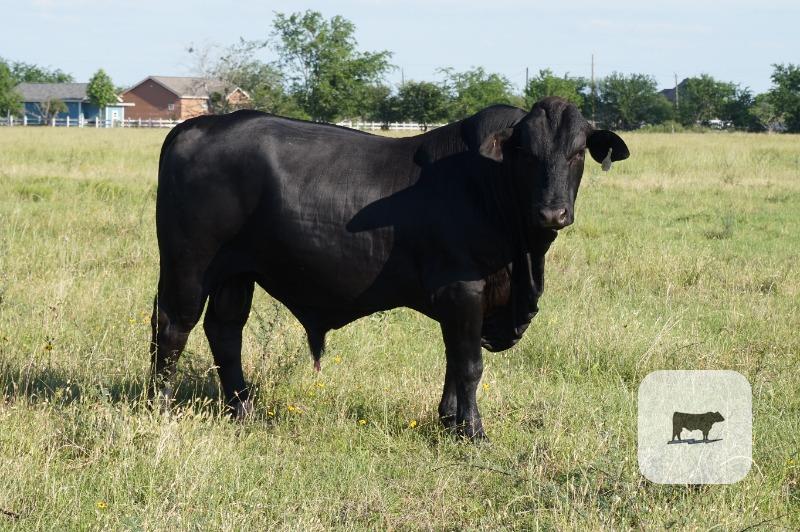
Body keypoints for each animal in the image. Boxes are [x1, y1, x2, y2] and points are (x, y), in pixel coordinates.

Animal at [149, 97, 629, 440]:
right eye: (526, 153)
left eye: (577, 153)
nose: (552, 213)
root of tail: (197, 126)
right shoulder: (463, 288)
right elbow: (469, 364)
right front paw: (473, 431)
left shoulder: (461, 301)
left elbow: (453, 359)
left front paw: (449, 421)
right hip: (189, 265)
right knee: (172, 328)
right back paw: (160, 408)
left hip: (236, 272)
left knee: (225, 331)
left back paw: (243, 410)